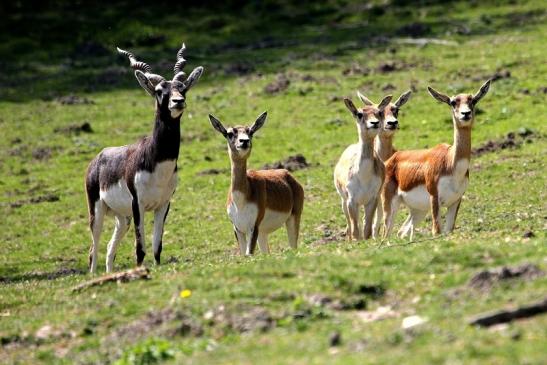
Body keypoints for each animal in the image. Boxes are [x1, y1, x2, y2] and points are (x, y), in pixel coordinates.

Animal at [84, 42, 204, 272]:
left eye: (182, 87)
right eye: (158, 91)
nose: (178, 101)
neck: (157, 162)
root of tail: (98, 158)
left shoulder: (163, 205)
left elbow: (157, 246)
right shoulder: (137, 204)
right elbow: (140, 248)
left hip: (122, 218)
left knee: (110, 249)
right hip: (97, 210)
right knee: (93, 250)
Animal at [209, 112, 306, 255]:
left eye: (250, 131)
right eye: (230, 133)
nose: (244, 141)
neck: (241, 199)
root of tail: (288, 175)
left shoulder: (253, 227)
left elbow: (249, 254)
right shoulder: (237, 229)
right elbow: (243, 255)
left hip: (292, 220)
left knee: (293, 246)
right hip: (263, 233)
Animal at [334, 93, 394, 239]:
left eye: (379, 112)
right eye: (359, 114)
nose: (374, 123)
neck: (363, 177)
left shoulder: (371, 200)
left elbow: (367, 230)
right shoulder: (351, 201)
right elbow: (355, 230)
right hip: (343, 202)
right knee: (349, 226)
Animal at [382, 79, 492, 239]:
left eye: (473, 100)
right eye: (453, 102)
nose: (465, 114)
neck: (451, 163)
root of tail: (391, 159)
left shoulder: (455, 201)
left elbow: (448, 230)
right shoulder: (434, 198)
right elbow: (436, 231)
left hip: (418, 210)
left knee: (401, 231)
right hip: (390, 204)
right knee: (386, 232)